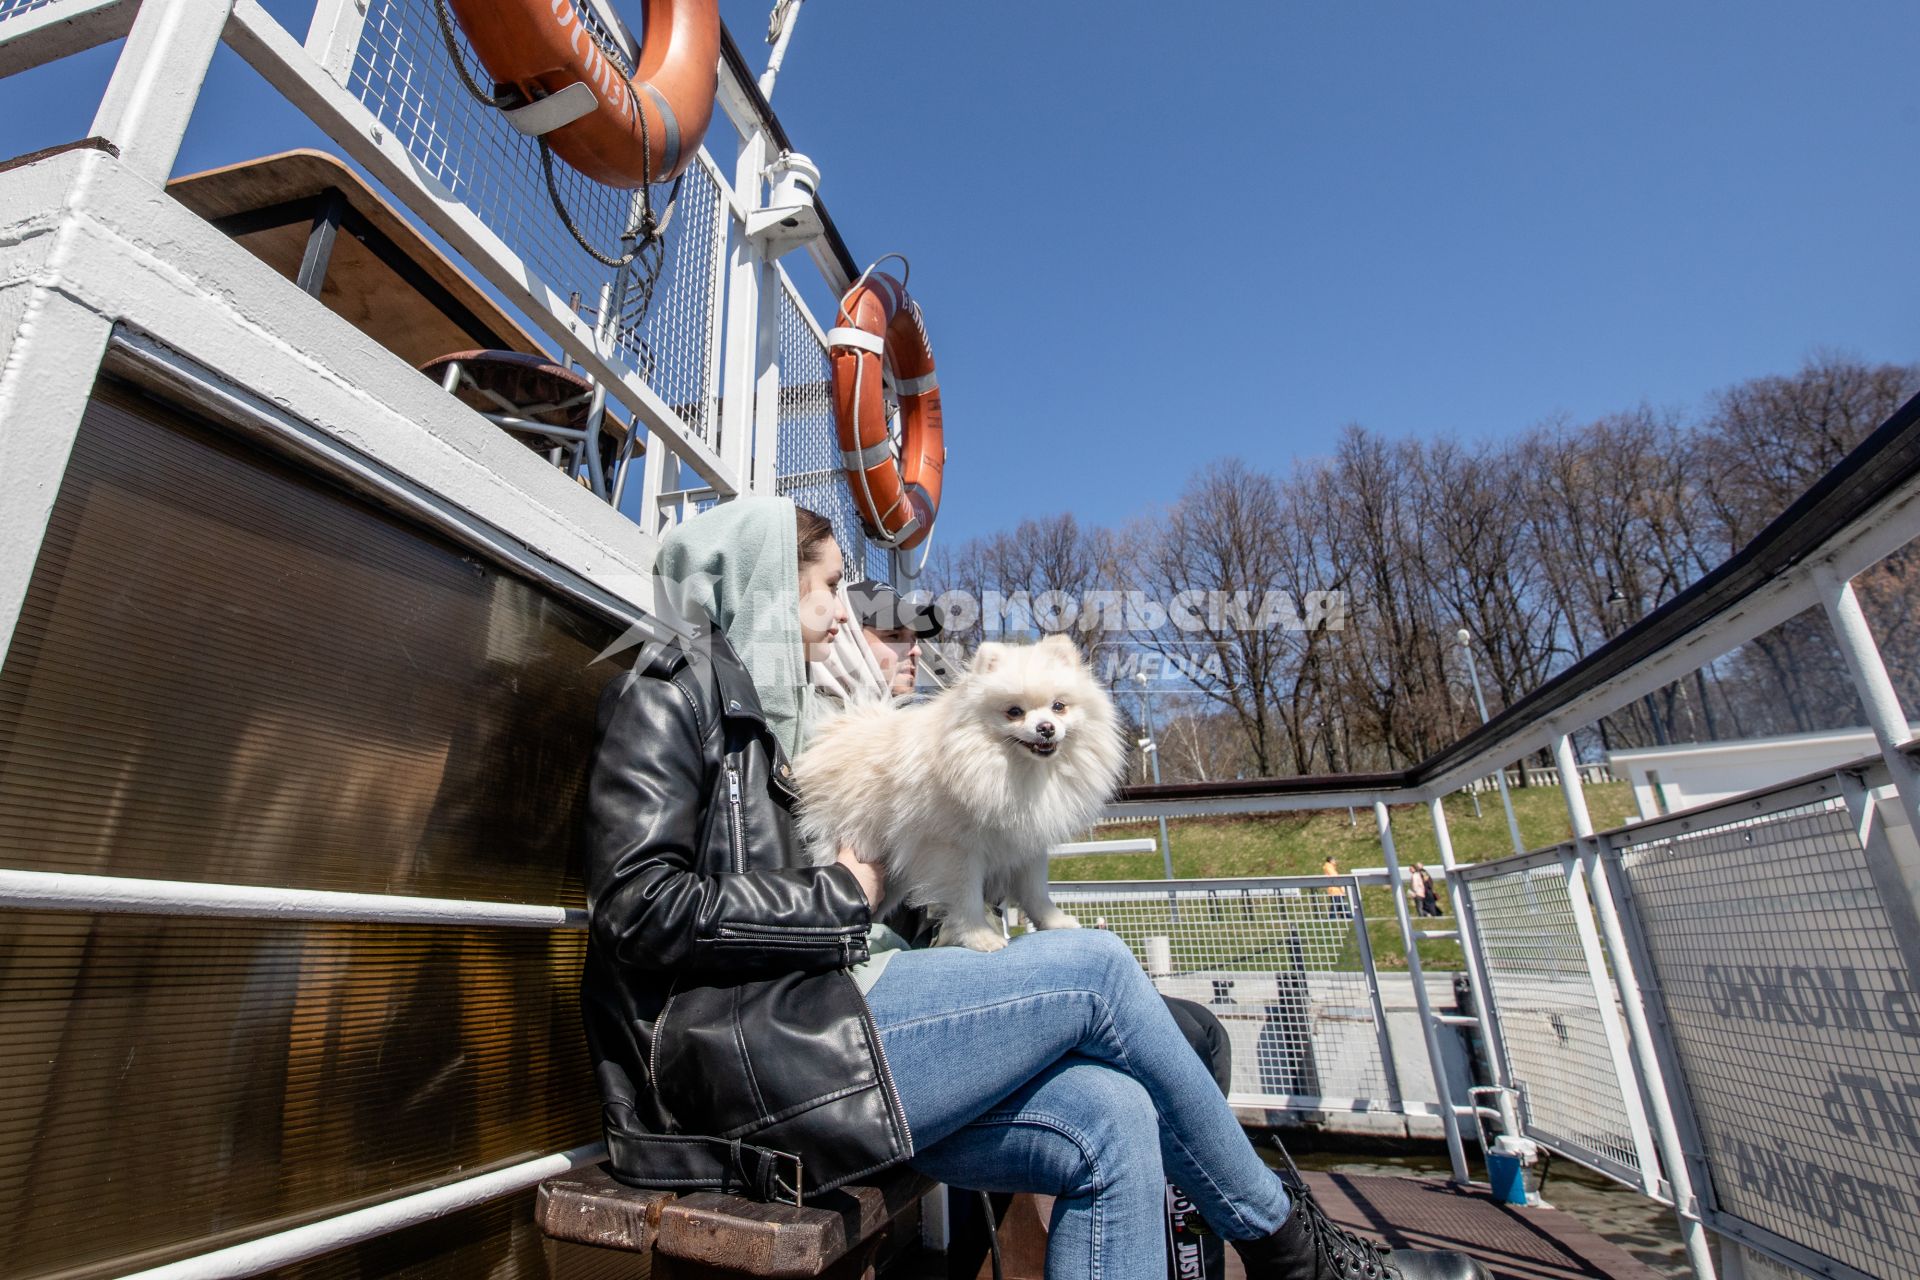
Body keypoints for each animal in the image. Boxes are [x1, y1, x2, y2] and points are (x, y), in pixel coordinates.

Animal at [791, 633, 1121, 951]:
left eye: (1059, 707)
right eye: (1014, 712)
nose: (1046, 728)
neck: (1016, 770)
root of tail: (837, 731)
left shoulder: (1027, 843)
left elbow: (1035, 890)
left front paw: (1054, 922)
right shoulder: (954, 849)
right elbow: (966, 897)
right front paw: (980, 937)